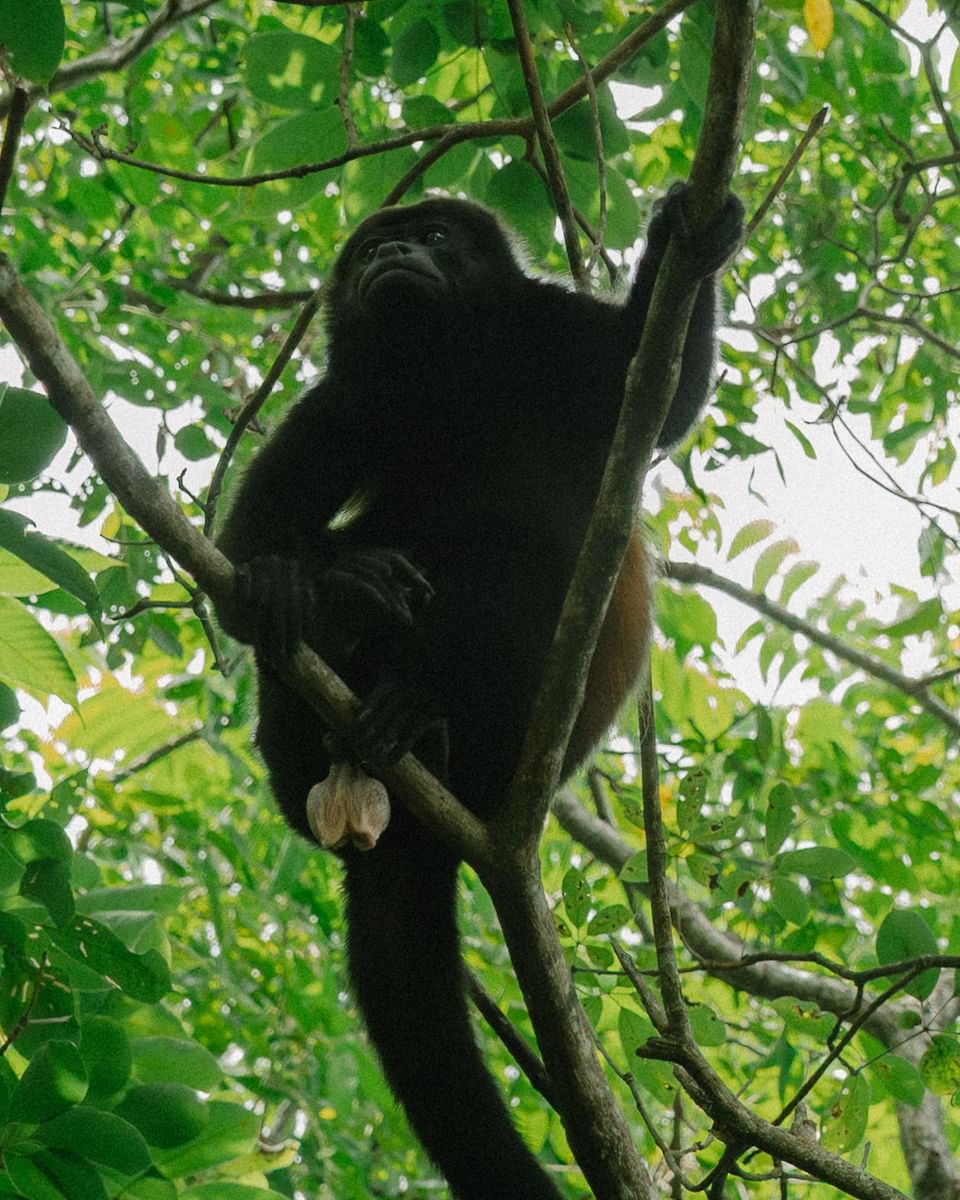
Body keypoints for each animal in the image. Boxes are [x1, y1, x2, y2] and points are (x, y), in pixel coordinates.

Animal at [217, 188, 743, 1199]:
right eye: (373, 250)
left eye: (433, 238)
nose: (393, 256)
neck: (449, 368)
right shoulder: (347, 396)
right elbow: (242, 546)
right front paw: (301, 579)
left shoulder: (553, 335)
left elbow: (664, 400)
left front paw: (689, 236)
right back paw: (327, 621)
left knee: (523, 555)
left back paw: (420, 715)